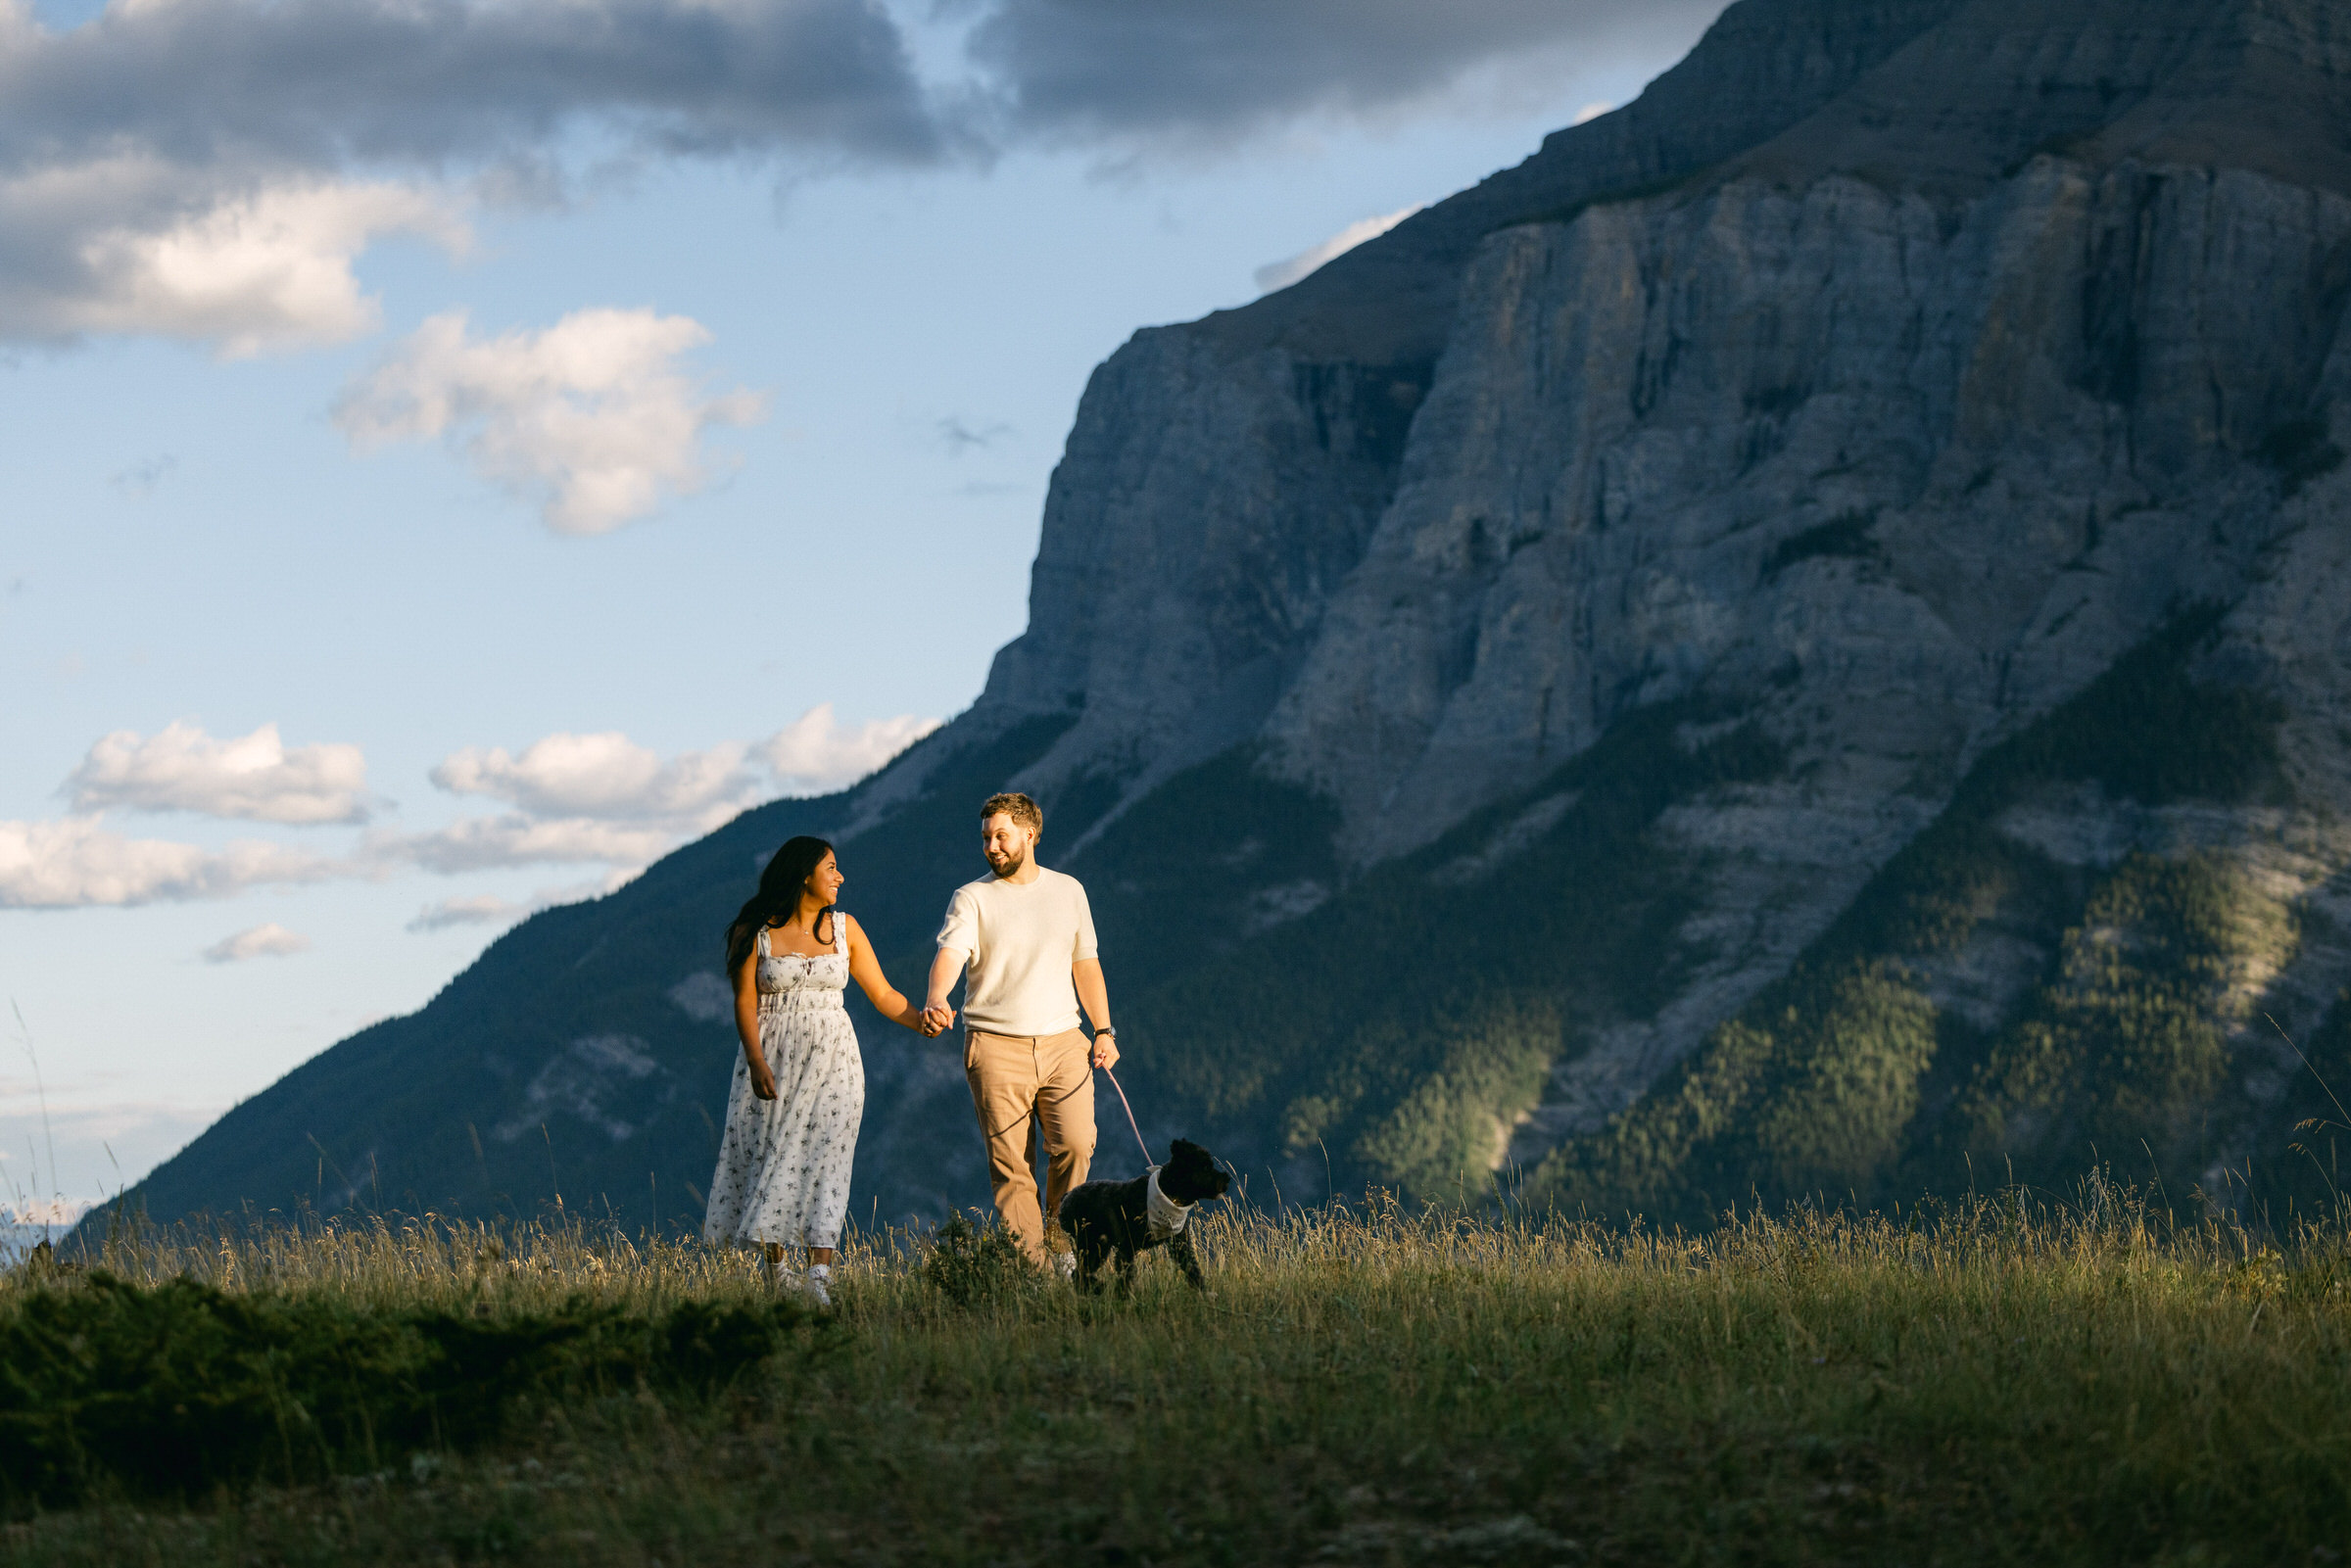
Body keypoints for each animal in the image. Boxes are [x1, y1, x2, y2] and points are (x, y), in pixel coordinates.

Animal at [1058, 1132, 1231, 1297]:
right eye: (1205, 1167)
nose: (1227, 1178)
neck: (1168, 1192)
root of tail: (1066, 1197)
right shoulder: (1127, 1247)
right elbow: (1126, 1277)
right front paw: (1125, 1298)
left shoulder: (1181, 1244)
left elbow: (1193, 1269)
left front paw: (1205, 1294)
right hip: (1090, 1244)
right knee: (1079, 1274)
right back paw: (1098, 1287)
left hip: (1098, 1246)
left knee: (1080, 1274)